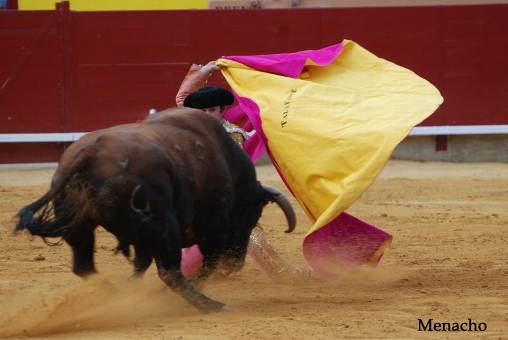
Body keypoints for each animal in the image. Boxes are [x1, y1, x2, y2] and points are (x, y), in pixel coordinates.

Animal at [15, 108, 296, 314]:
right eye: (251, 217)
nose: (236, 263)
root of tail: (88, 154)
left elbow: (141, 264)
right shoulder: (212, 226)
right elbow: (207, 262)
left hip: (82, 226)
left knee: (85, 266)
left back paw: (118, 296)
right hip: (163, 225)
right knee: (170, 272)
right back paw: (211, 305)